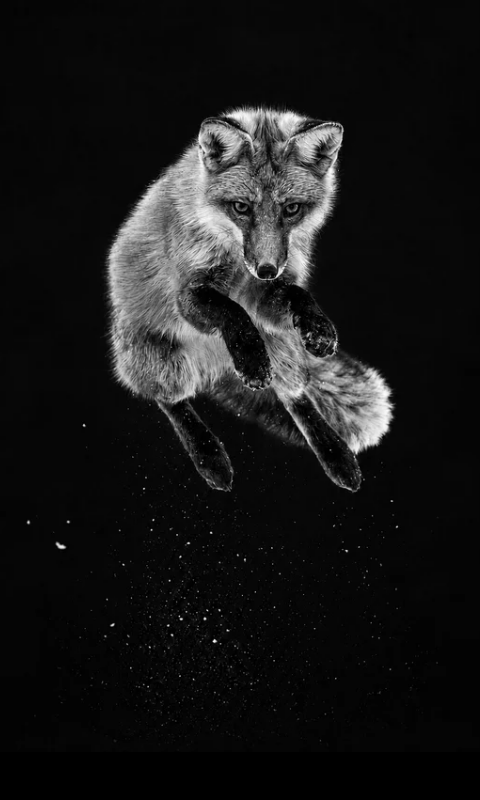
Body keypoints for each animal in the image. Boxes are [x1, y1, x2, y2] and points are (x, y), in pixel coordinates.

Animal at [106, 106, 393, 493]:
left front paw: (319, 328)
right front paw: (251, 360)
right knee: (171, 400)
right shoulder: (188, 293)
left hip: (282, 345)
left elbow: (295, 294)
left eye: (291, 209)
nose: (266, 269)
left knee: (296, 395)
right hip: (159, 359)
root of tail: (214, 369)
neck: (237, 266)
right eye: (241, 207)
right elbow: (232, 311)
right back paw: (210, 456)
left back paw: (337, 457)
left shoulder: (266, 300)